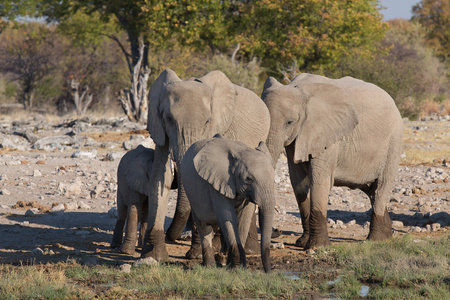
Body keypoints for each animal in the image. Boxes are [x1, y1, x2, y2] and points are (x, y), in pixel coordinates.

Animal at [143, 68, 270, 260]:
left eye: (207, 121)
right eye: (169, 119)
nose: (169, 237)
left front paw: (195, 256)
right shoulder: (159, 128)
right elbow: (160, 177)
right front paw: (154, 256)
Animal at [181, 135, 276, 274]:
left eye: (273, 178)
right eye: (248, 179)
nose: (269, 272)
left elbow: (243, 220)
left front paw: (238, 268)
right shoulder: (217, 183)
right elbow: (227, 217)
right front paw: (237, 269)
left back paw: (222, 260)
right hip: (192, 194)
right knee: (204, 226)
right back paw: (210, 266)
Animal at [262, 74, 402, 250]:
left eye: (289, 122)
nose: (277, 231)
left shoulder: (327, 135)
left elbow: (319, 181)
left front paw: (316, 247)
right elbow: (298, 183)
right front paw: (302, 243)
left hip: (393, 144)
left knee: (381, 187)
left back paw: (375, 240)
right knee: (371, 190)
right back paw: (387, 235)